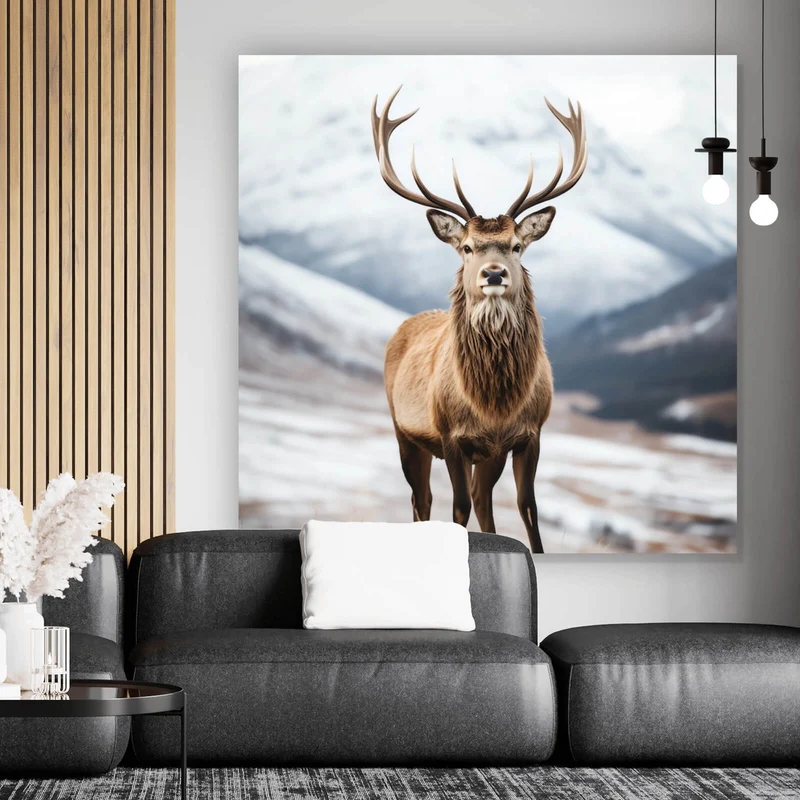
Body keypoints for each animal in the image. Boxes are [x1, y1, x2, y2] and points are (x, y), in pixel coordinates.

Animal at [371, 86, 588, 554]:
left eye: (516, 245)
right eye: (468, 247)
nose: (493, 274)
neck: (494, 403)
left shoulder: (528, 434)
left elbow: (527, 509)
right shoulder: (451, 434)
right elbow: (457, 510)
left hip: (488, 455)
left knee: (482, 499)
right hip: (404, 432)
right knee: (423, 500)